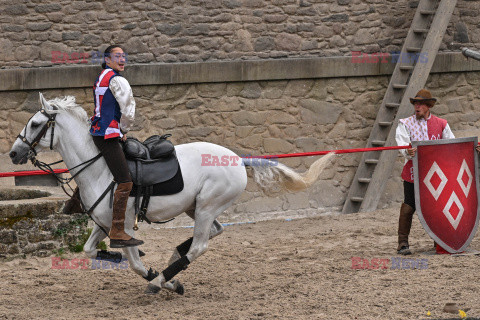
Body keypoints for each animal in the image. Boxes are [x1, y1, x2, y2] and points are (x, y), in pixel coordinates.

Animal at [9, 93, 336, 296]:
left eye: (35, 124)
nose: (13, 153)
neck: (99, 167)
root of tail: (237, 159)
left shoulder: (124, 229)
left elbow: (135, 264)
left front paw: (160, 279)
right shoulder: (104, 224)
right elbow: (91, 251)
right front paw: (116, 257)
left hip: (205, 208)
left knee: (200, 245)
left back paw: (164, 277)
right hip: (197, 208)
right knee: (214, 232)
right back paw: (172, 260)